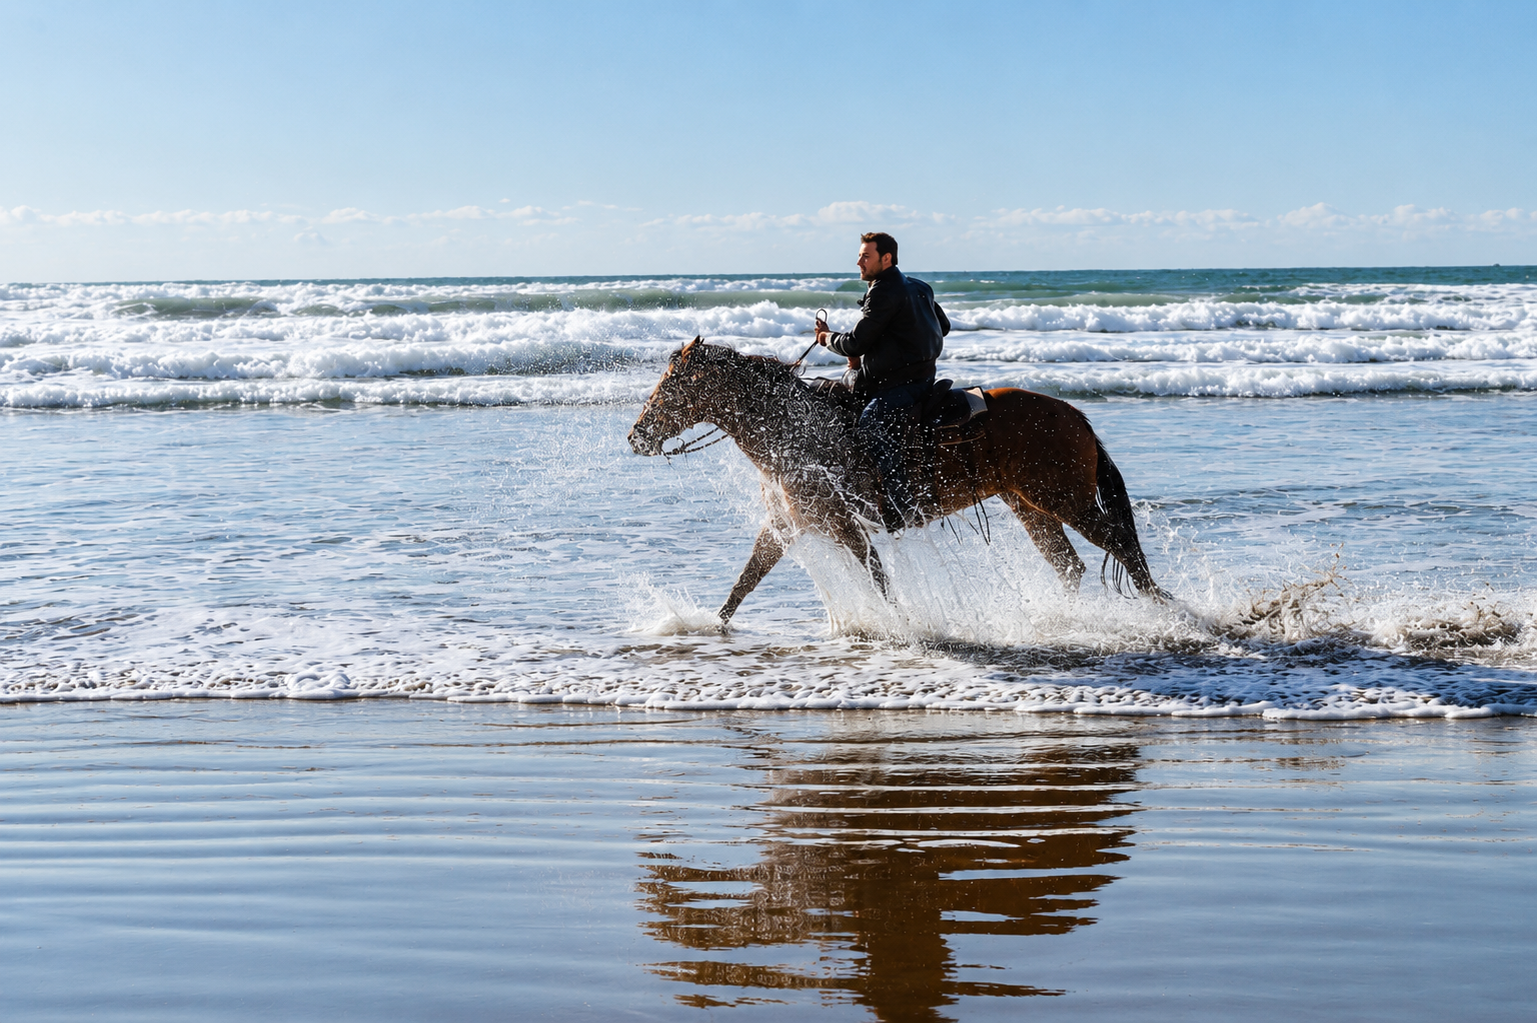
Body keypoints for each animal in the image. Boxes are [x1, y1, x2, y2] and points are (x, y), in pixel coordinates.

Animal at [627, 337, 1165, 624]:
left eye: (670, 384)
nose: (636, 436)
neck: (793, 429)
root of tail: (1074, 415)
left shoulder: (845, 524)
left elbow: (878, 580)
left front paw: (902, 627)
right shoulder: (784, 525)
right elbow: (744, 582)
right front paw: (709, 628)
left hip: (1066, 501)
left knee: (1123, 547)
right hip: (1032, 507)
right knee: (1070, 566)